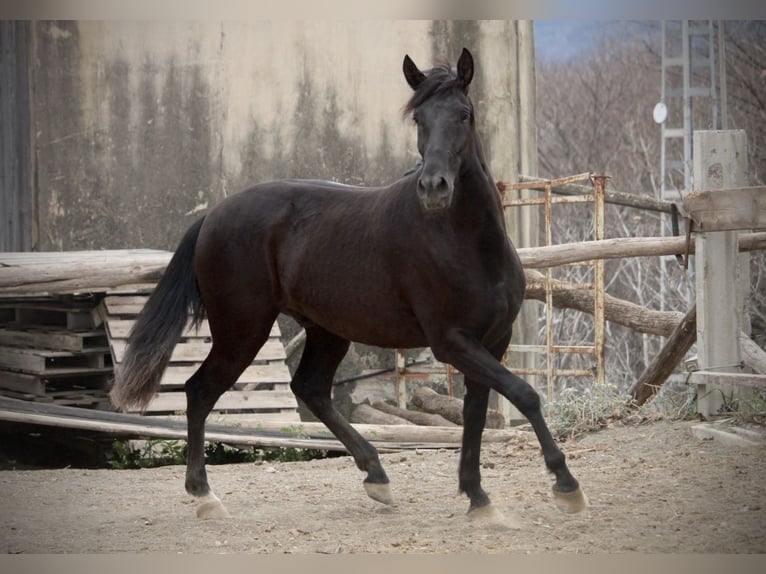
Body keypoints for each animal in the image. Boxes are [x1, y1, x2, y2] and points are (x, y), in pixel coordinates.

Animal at [109, 48, 588, 520]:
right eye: (419, 118)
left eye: (464, 114)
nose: (434, 187)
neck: (467, 243)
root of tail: (213, 216)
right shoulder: (451, 342)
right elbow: (525, 394)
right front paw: (566, 485)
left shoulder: (492, 341)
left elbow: (476, 412)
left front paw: (477, 497)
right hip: (242, 331)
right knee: (199, 391)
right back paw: (204, 495)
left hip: (325, 331)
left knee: (310, 389)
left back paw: (377, 476)